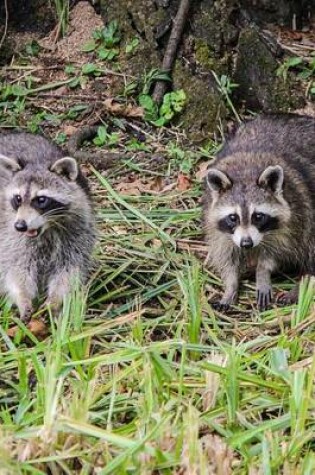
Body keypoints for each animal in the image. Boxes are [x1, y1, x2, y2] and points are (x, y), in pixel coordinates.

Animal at [0, 132, 96, 322]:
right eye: (18, 199)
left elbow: (69, 270)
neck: (48, 229)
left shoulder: (78, 231)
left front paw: (55, 300)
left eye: (41, 200)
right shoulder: (11, 235)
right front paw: (23, 298)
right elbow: (16, 268)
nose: (20, 226)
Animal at [204, 113, 315, 310]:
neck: (245, 173)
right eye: (233, 217)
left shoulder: (295, 214)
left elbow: (277, 251)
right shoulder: (216, 223)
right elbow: (226, 255)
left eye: (258, 216)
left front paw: (262, 272)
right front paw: (230, 285)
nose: (246, 243)